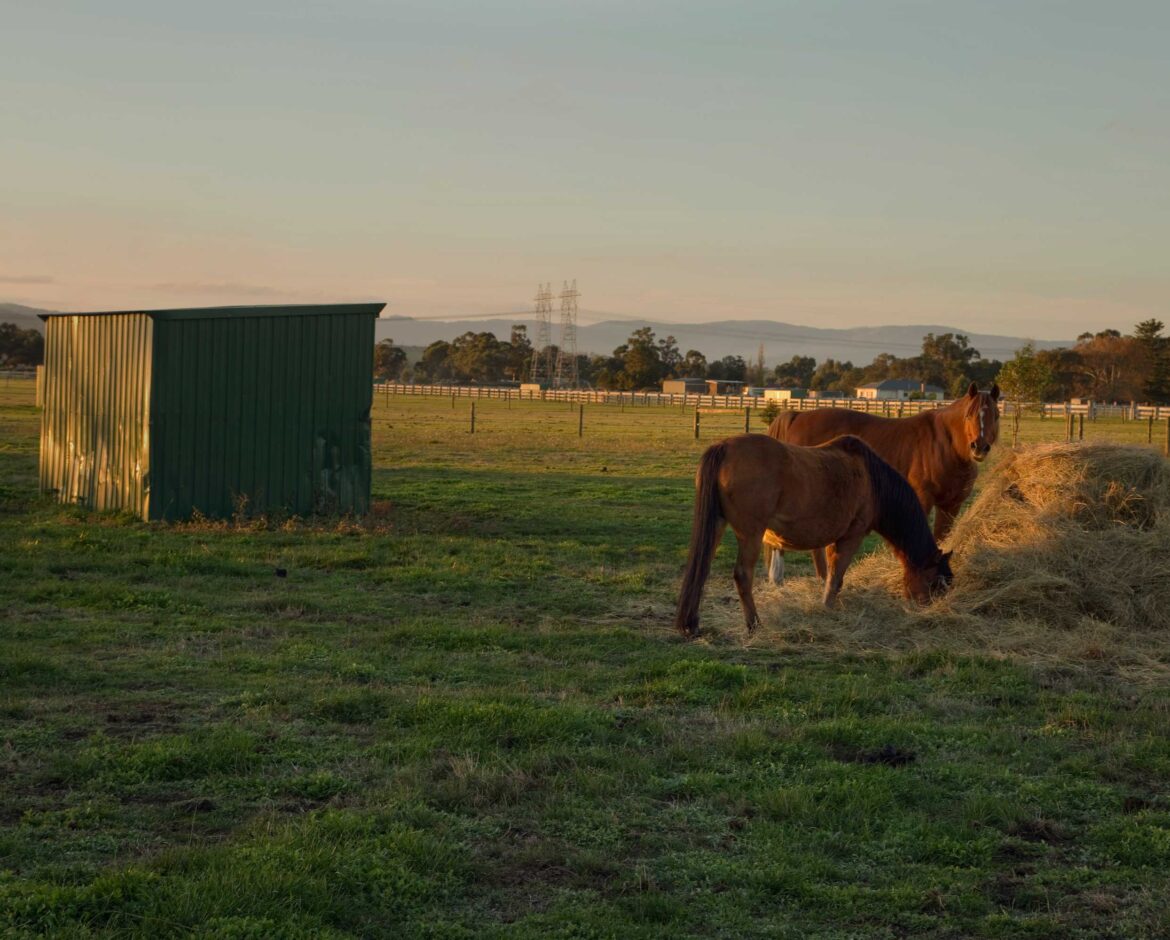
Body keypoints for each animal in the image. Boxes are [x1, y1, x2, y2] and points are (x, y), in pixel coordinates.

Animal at [673, 433, 954, 641]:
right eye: (936, 583)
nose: (930, 612)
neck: (872, 481)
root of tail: (724, 447)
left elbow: (828, 573)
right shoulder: (852, 536)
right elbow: (836, 577)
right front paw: (827, 608)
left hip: (717, 525)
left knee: (702, 569)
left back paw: (692, 623)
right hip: (750, 534)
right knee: (743, 575)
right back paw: (754, 624)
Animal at [762, 381, 1001, 580]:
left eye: (996, 416)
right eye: (969, 415)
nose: (979, 447)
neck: (946, 445)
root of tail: (797, 416)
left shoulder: (951, 506)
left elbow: (942, 538)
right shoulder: (922, 500)